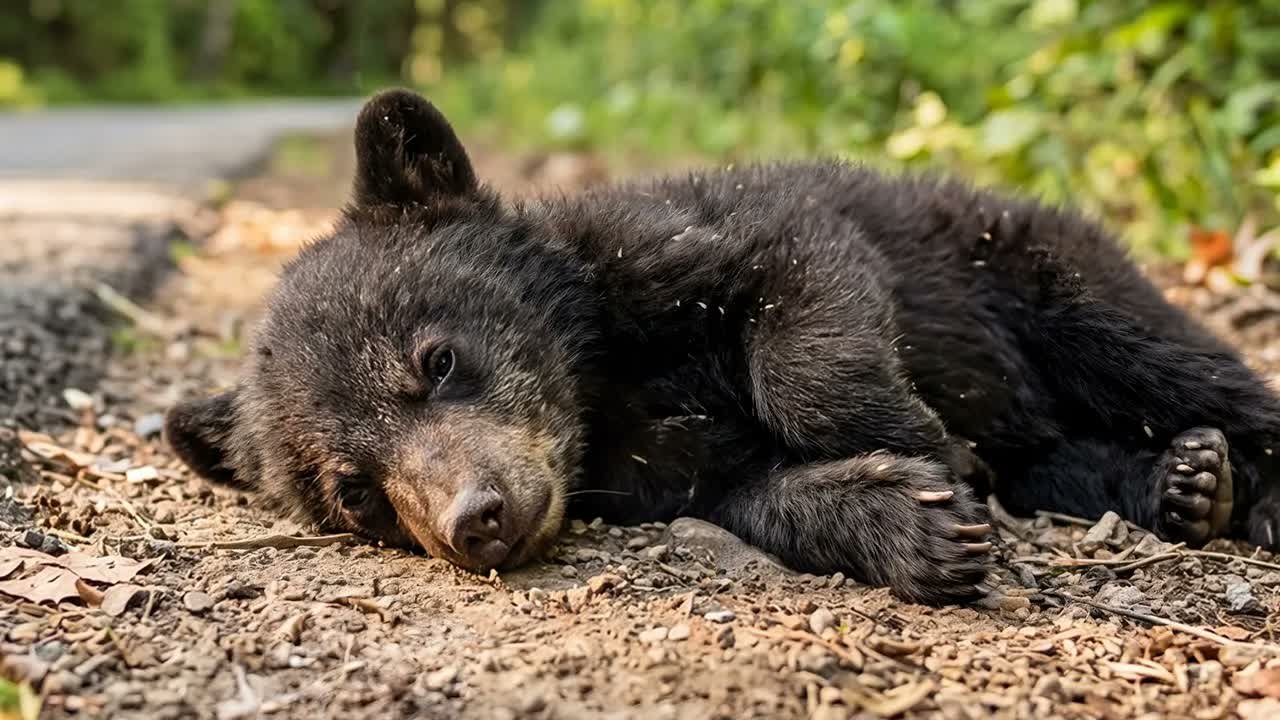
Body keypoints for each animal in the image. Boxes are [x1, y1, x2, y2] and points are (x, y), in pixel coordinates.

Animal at [164, 89, 1280, 605]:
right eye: (353, 491)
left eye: (436, 359)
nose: (474, 520)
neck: (602, 398)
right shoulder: (656, 473)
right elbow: (753, 492)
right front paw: (912, 520)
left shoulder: (701, 241)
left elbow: (804, 294)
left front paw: (914, 436)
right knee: (1065, 456)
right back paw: (1186, 484)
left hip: (1047, 275)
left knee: (1176, 364)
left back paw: (1245, 480)